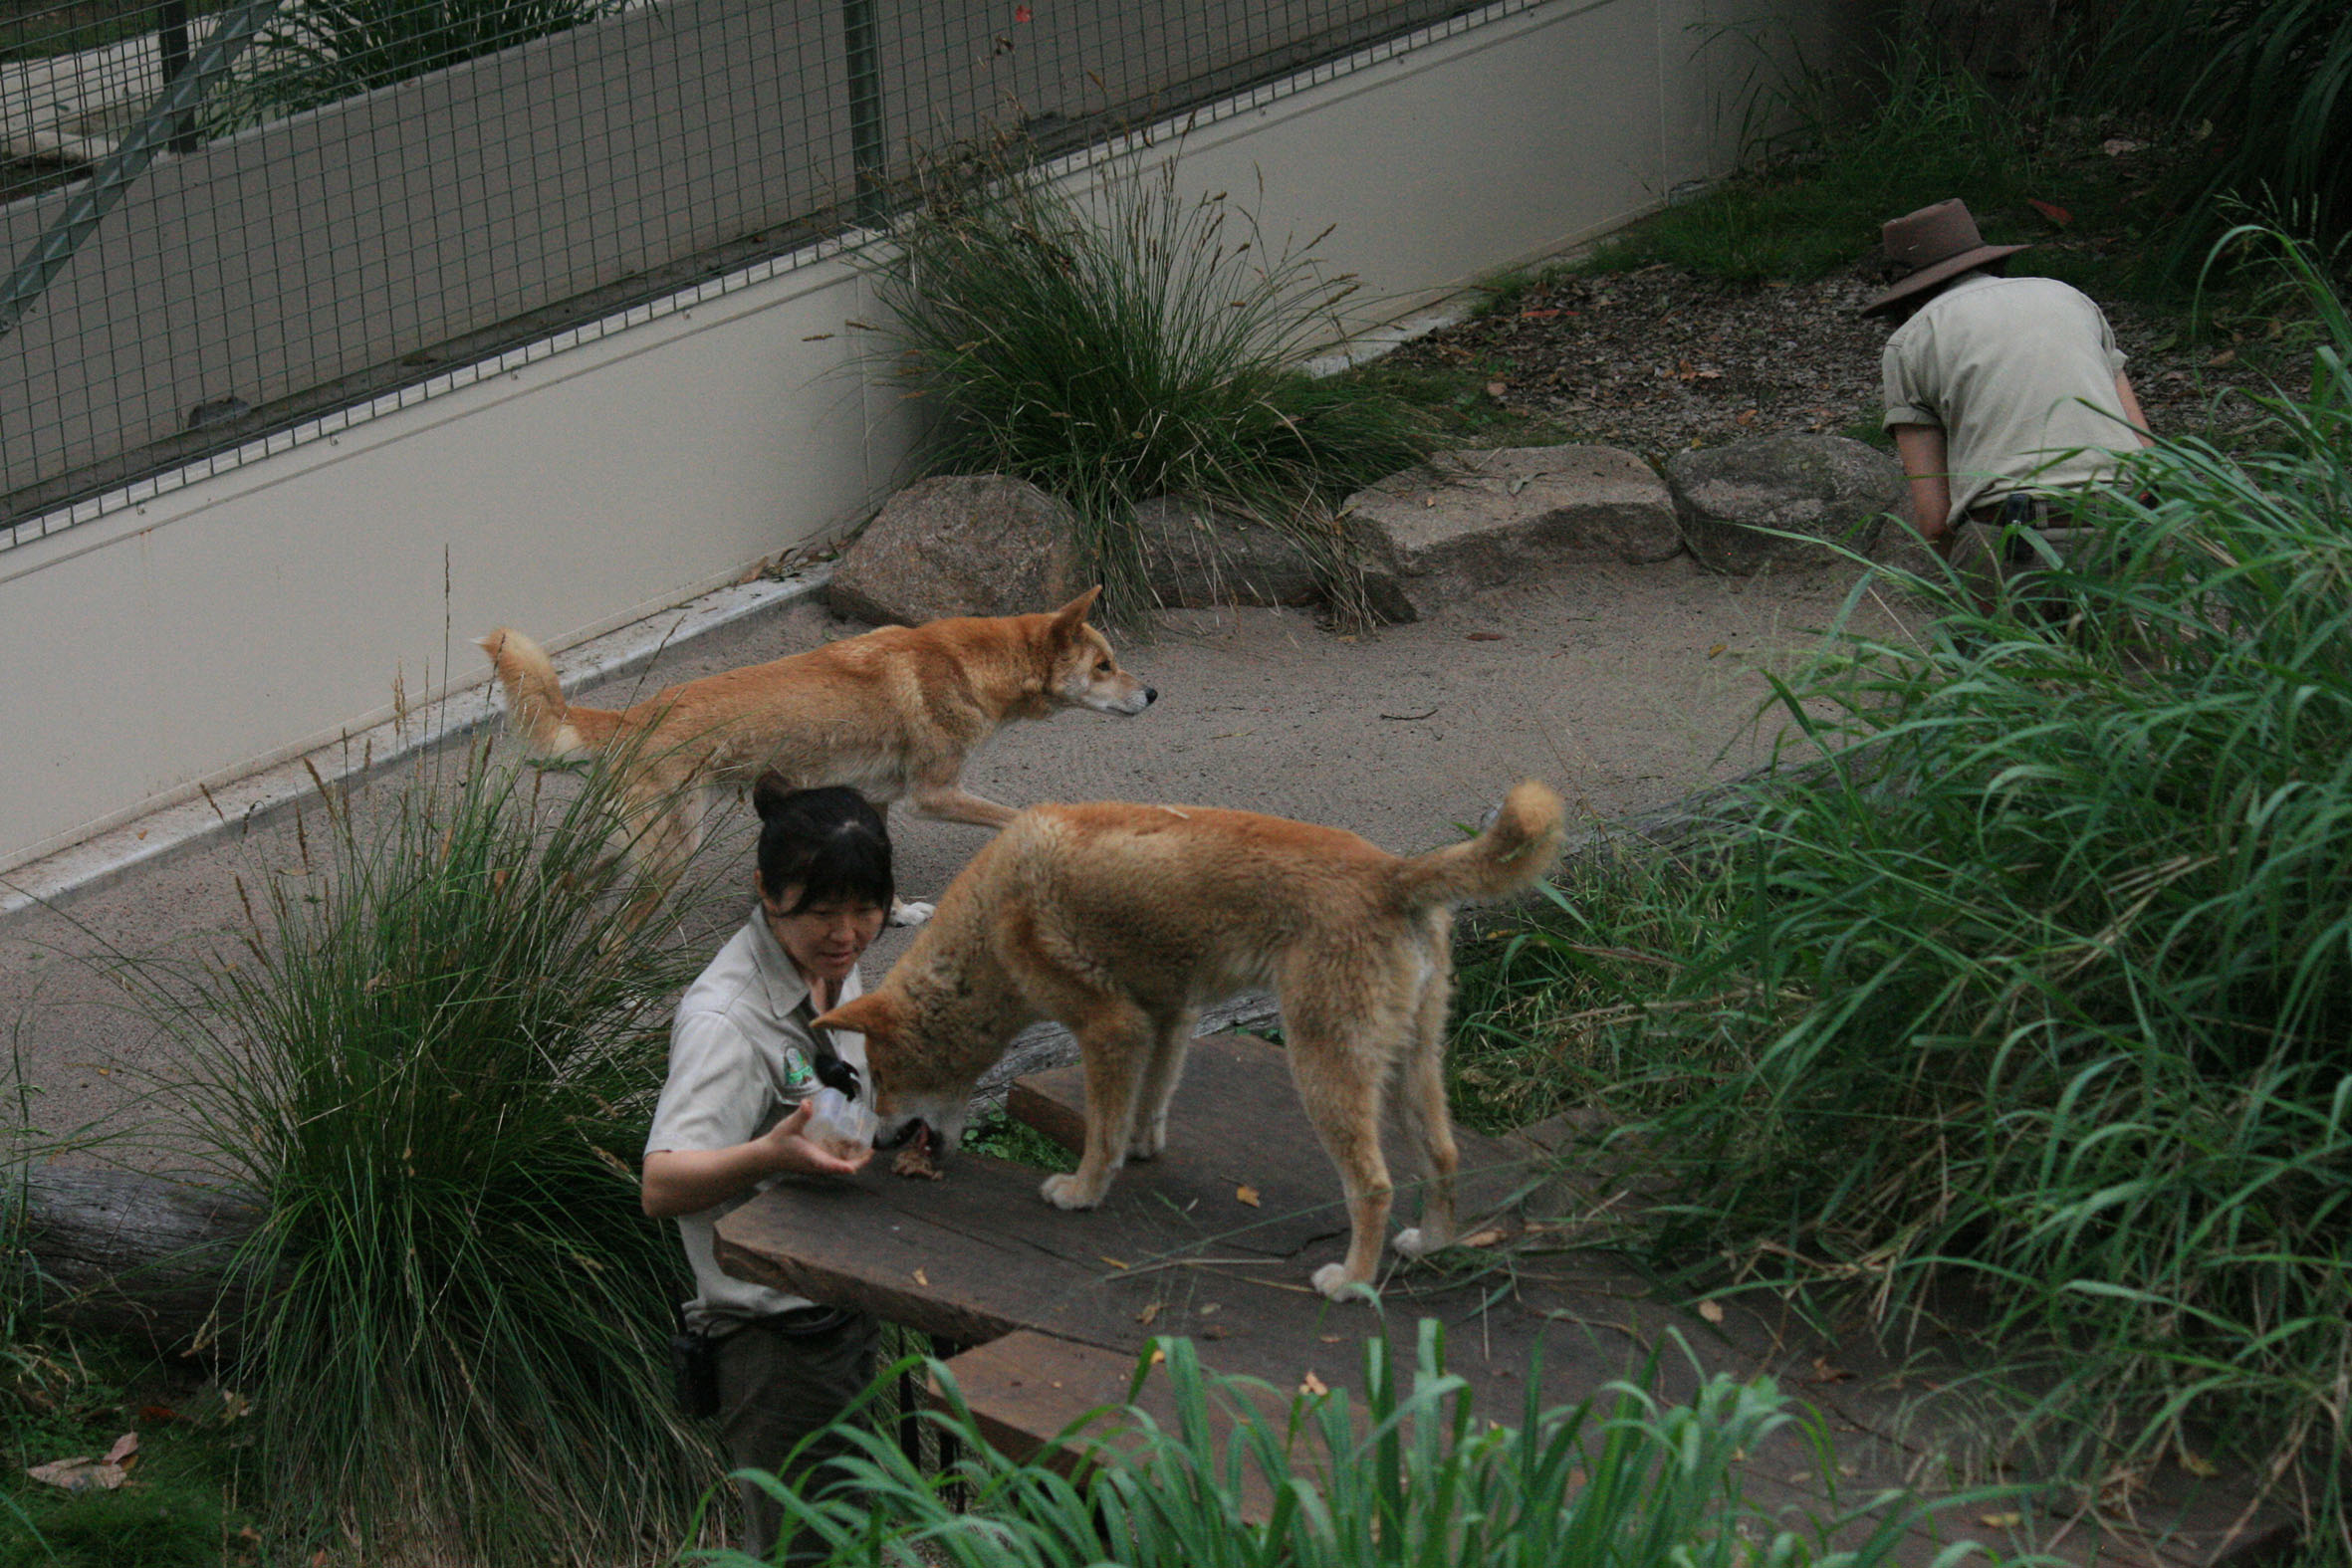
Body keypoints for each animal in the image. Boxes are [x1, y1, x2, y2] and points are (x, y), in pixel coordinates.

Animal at [478, 588, 1155, 924]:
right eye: (1104, 666)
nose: (1152, 694)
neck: (967, 667)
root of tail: (633, 717)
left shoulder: (878, 802)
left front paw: (896, 914)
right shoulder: (934, 795)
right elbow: (1019, 815)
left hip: (629, 849)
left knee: (562, 883)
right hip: (670, 855)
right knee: (610, 936)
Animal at [812, 780, 1567, 1300]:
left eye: (881, 1079)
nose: (882, 1145)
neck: (990, 922)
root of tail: (1394, 873)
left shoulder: (1110, 1028)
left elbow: (1101, 1131)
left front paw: (1082, 1191)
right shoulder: (1166, 1014)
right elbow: (1146, 1104)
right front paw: (1142, 1150)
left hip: (1325, 1063)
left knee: (1373, 1185)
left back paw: (1351, 1280)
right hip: (1414, 1059)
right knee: (1443, 1155)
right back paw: (1431, 1243)